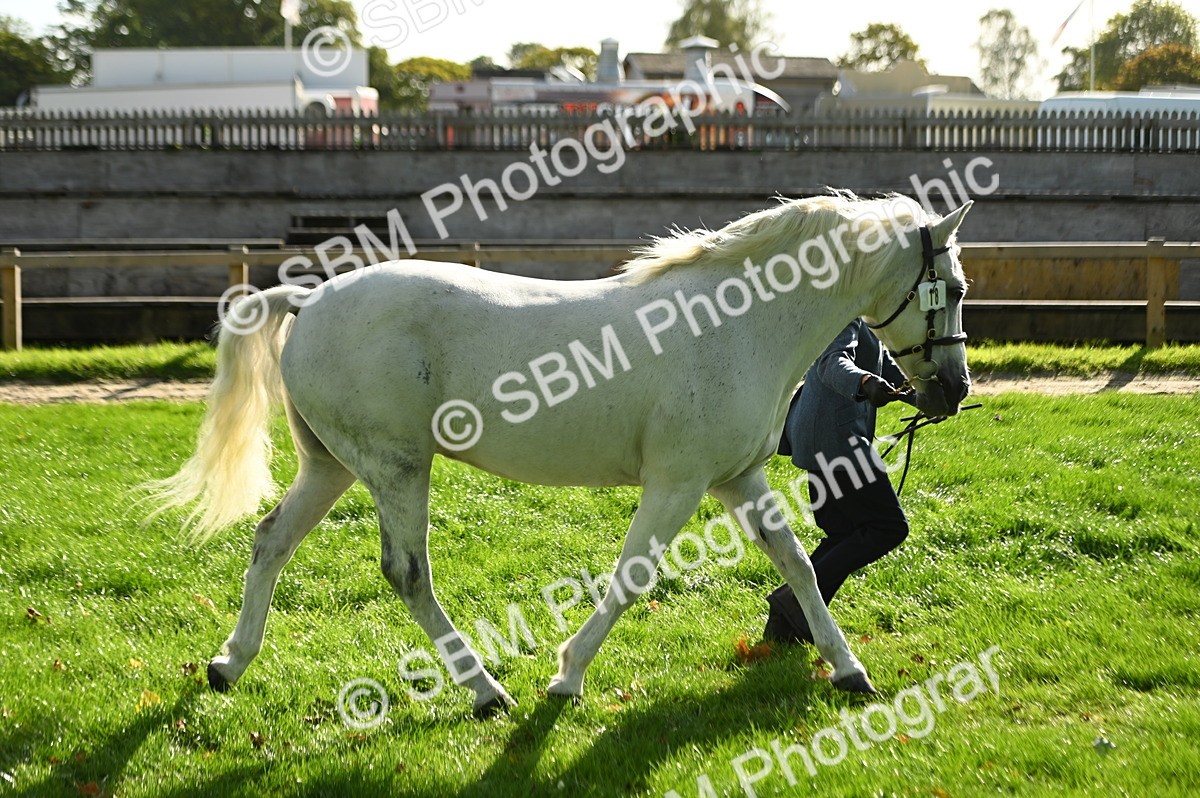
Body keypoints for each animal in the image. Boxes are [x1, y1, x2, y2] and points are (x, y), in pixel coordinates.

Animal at [150, 191, 973, 716]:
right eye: (957, 287)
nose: (954, 388)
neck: (735, 326)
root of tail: (309, 300)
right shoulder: (677, 484)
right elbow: (632, 578)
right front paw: (566, 678)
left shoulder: (738, 479)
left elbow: (798, 564)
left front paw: (849, 670)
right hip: (394, 467)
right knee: (407, 574)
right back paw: (486, 692)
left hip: (331, 466)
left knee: (270, 541)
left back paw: (228, 664)